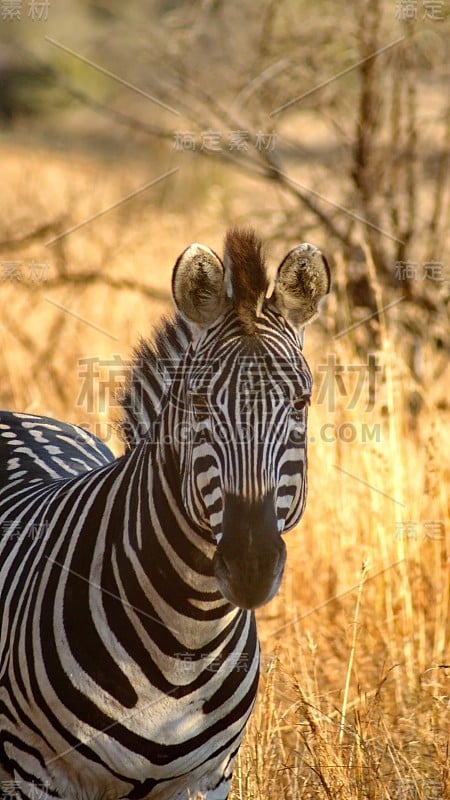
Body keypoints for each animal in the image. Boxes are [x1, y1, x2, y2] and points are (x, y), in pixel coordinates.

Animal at [0, 228, 330, 796]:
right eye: (198, 403)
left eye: (301, 403)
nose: (251, 567)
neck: (187, 635)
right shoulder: (35, 773)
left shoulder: (207, 779)